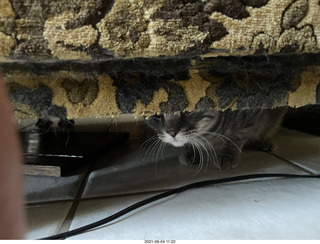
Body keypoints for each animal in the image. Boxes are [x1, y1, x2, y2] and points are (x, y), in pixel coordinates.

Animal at [145, 109, 284, 172]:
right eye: (156, 114)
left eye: (187, 110)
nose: (171, 132)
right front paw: (191, 151)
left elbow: (238, 135)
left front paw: (228, 154)